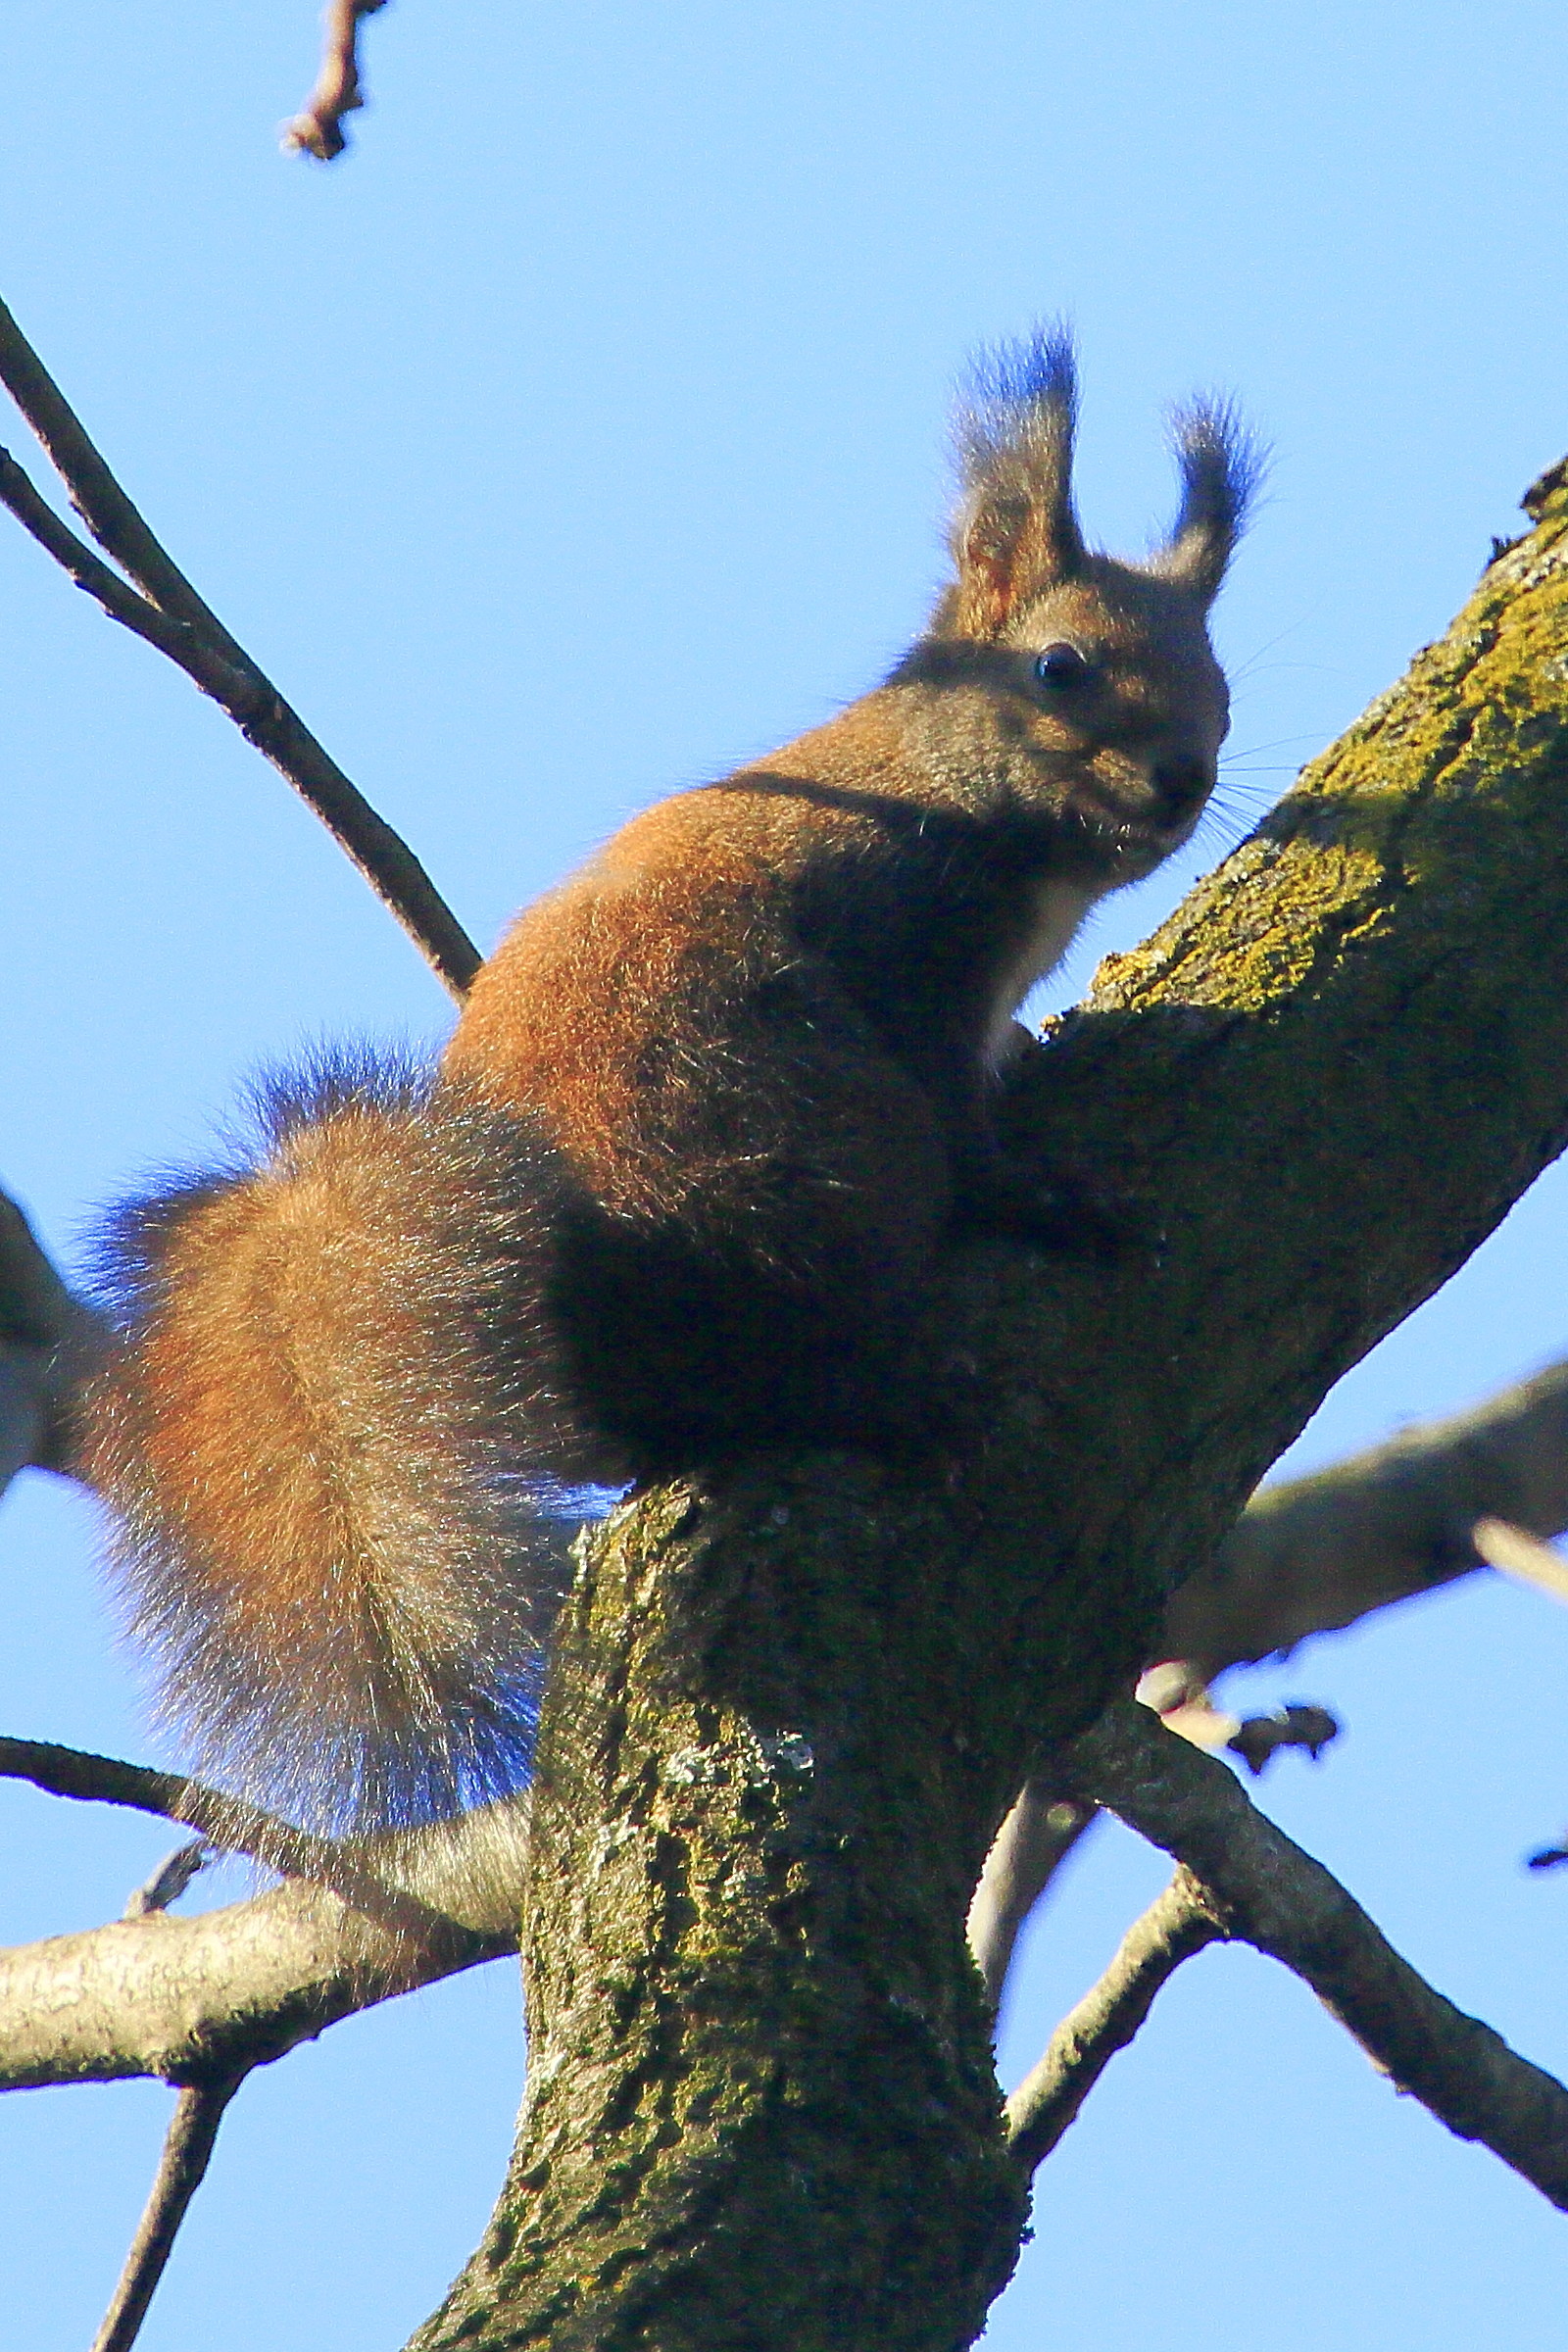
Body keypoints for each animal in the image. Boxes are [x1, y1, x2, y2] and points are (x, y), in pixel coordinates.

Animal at [73, 330, 1257, 1833]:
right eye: (1060, 667)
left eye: (1224, 683)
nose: (1182, 780)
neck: (967, 810)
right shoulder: (909, 951)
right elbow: (969, 1127)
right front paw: (1045, 1198)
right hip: (827, 1152)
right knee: (747, 1374)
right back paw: (873, 1398)